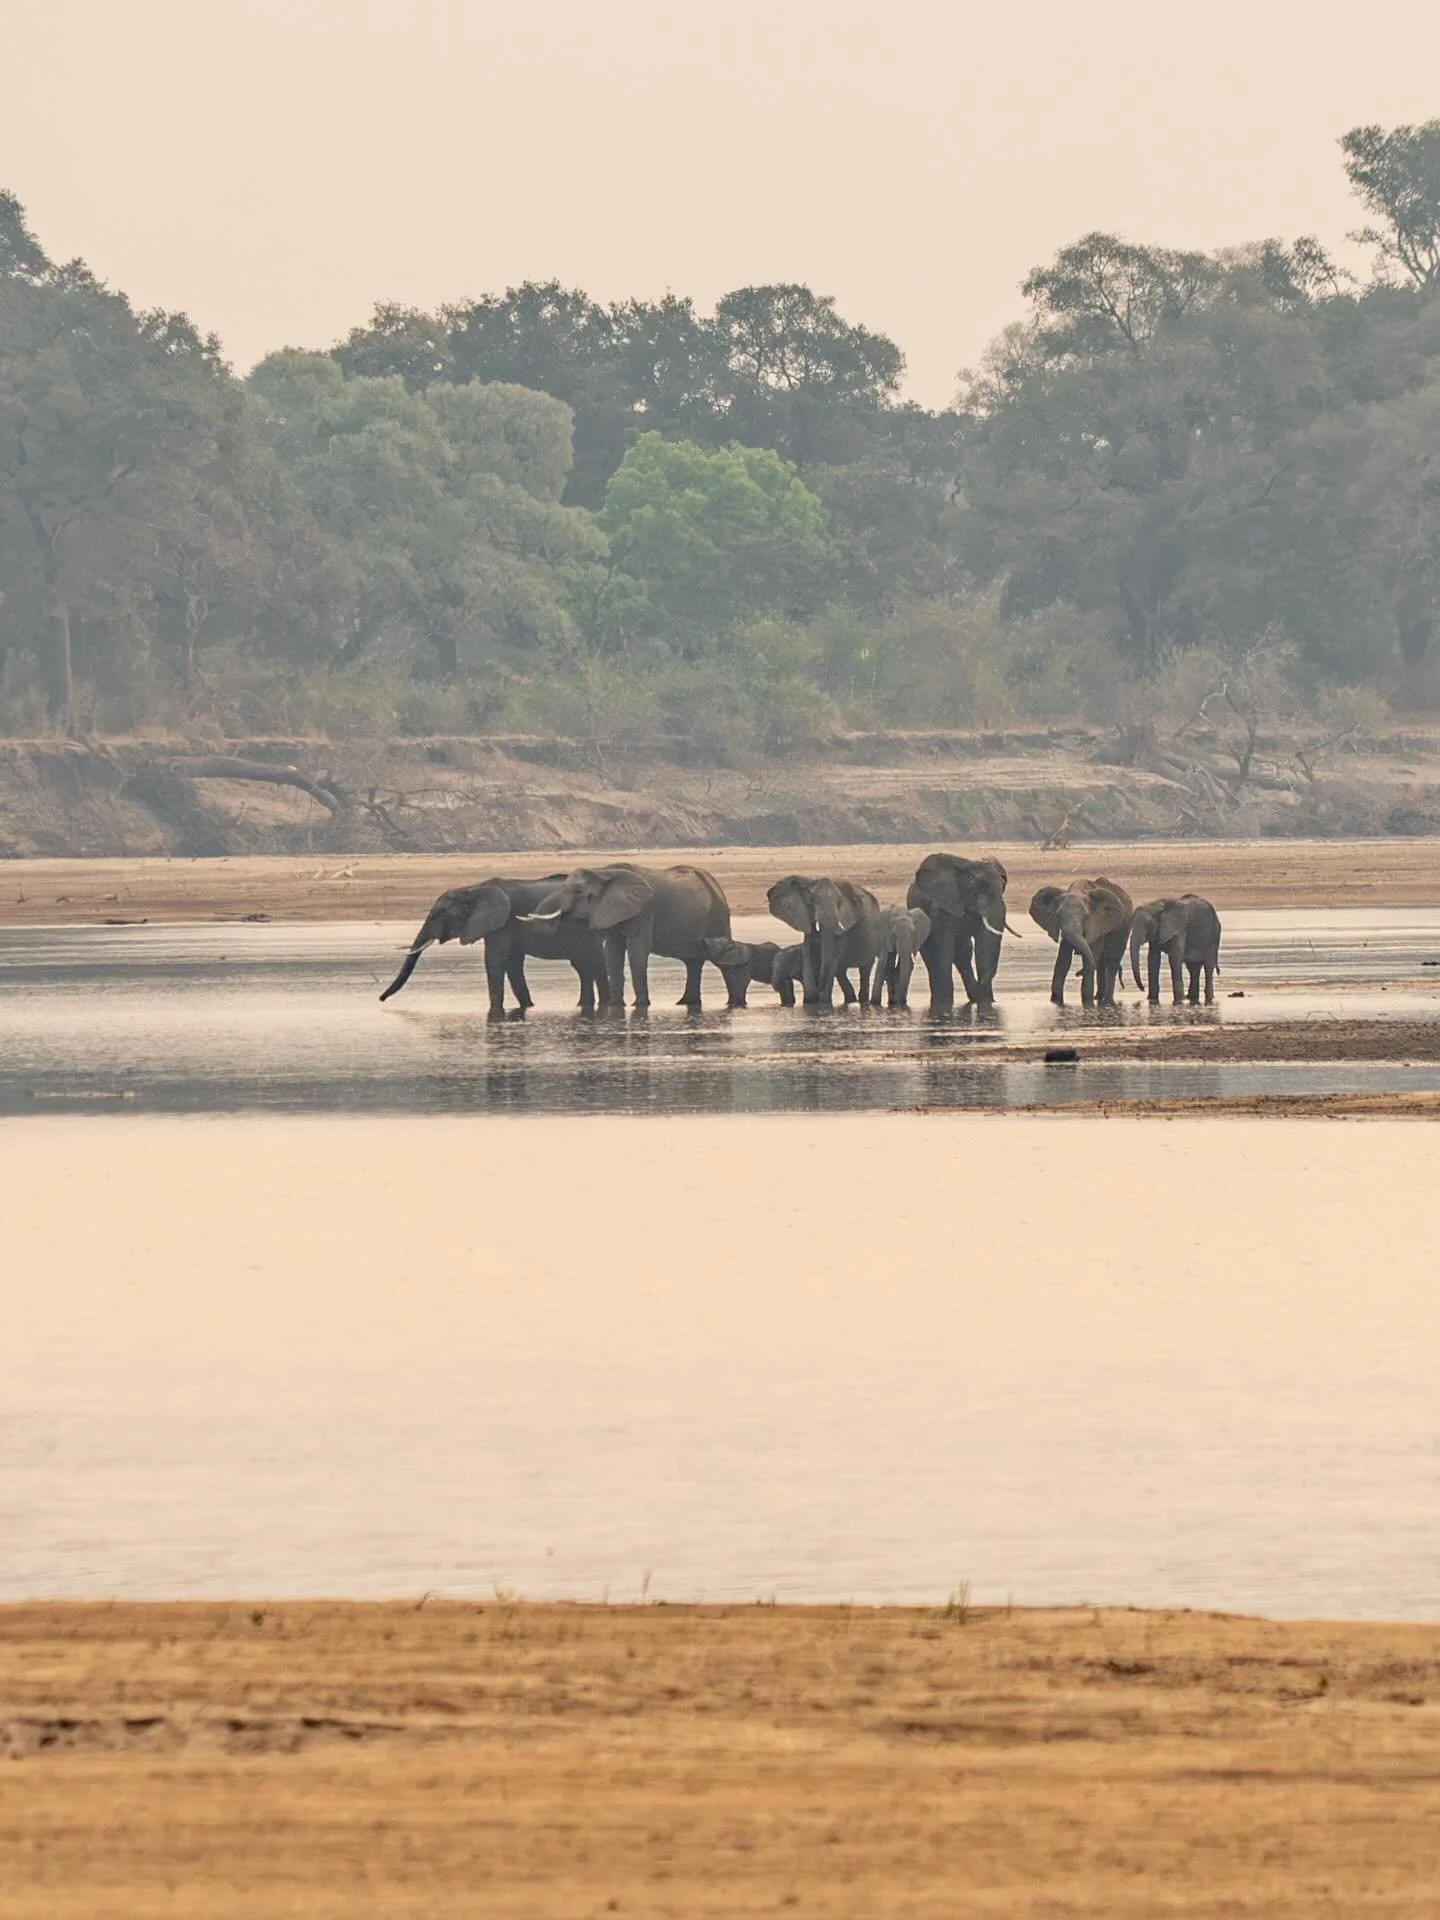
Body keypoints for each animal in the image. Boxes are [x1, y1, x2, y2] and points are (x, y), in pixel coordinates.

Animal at [378, 876, 610, 1016]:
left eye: (439, 914)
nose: (380, 999)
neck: (473, 889)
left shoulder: (503, 924)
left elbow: (495, 961)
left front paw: (495, 1014)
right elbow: (512, 964)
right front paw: (527, 1007)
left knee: (594, 963)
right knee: (583, 967)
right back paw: (583, 1005)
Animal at [526, 864, 732, 1009]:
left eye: (578, 892)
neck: (603, 872)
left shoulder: (644, 909)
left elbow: (637, 951)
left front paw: (640, 1005)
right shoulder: (609, 912)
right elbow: (613, 951)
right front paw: (615, 1005)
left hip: (718, 913)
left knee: (723, 960)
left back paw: (730, 1004)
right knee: (693, 963)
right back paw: (686, 1002)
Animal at [766, 875, 884, 1007]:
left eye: (839, 904)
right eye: (811, 902)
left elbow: (831, 959)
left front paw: (822, 1004)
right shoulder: (805, 918)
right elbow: (809, 956)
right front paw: (811, 1003)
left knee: (864, 969)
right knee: (841, 971)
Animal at [906, 854, 1016, 1009]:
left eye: (1002, 888)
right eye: (980, 891)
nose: (981, 986)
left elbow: (984, 946)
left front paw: (986, 1003)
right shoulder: (942, 909)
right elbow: (945, 950)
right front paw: (945, 1004)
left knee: (964, 954)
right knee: (933, 955)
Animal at [1029, 877, 1134, 1008]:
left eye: (1086, 917)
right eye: (1058, 916)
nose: (1078, 974)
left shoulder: (1097, 924)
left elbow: (1091, 955)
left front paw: (1088, 1004)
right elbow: (1063, 961)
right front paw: (1056, 1003)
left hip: (1124, 927)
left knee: (1111, 962)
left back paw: (1106, 1001)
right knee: (1102, 963)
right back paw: (1098, 998)